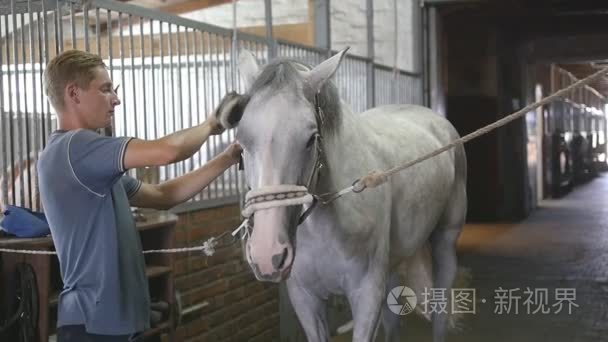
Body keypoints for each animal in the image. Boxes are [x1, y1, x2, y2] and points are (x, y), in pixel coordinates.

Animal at [221, 48, 468, 342]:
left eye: (311, 138)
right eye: (241, 142)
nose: (267, 255)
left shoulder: (367, 294)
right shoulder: (305, 299)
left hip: (445, 240)